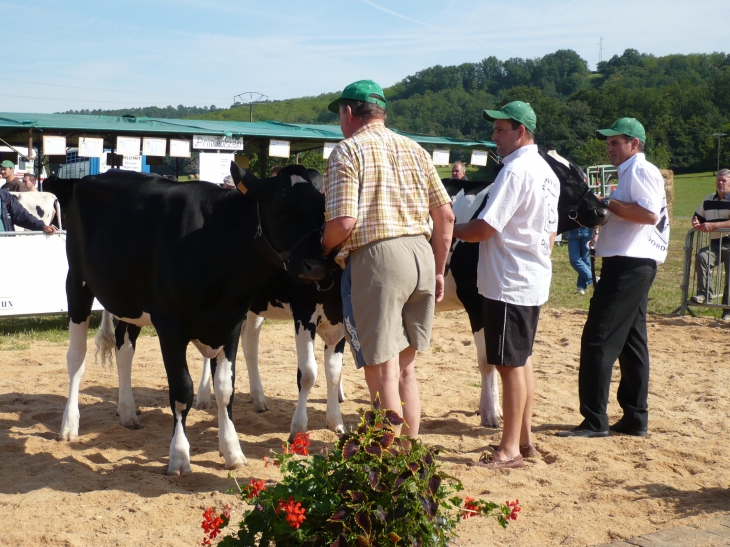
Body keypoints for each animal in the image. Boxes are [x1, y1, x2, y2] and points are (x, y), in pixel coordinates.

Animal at [59, 163, 328, 476]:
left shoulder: (230, 324)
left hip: (130, 303)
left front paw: (232, 451)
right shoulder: (170, 328)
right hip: (76, 281)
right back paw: (69, 425)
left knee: (124, 346)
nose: (317, 265)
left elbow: (225, 389)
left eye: (323, 209)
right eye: (282, 209)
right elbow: (181, 390)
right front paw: (179, 456)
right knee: (76, 357)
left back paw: (127, 412)